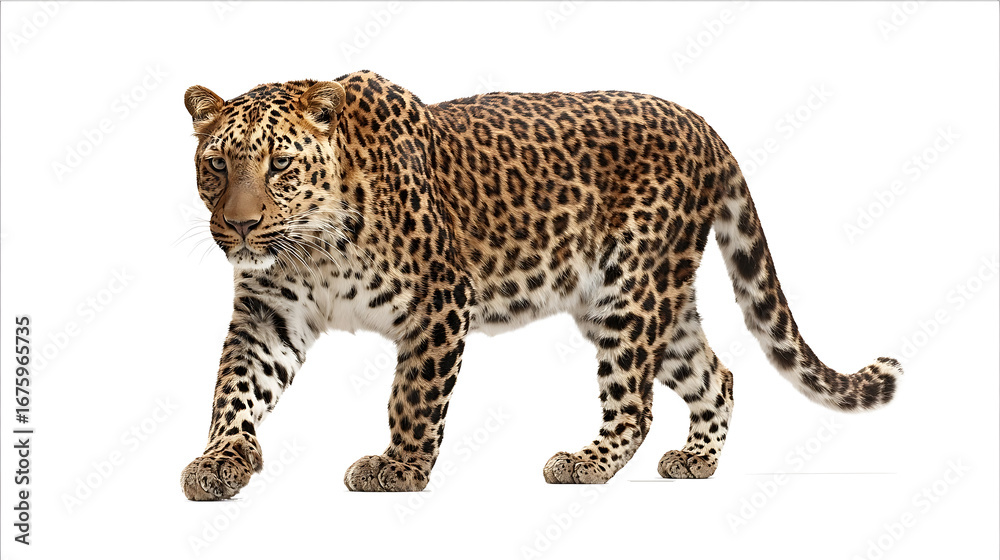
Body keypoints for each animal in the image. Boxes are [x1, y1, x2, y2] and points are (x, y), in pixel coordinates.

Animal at [179, 70, 902, 499]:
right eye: (216, 164)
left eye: (279, 165)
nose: (239, 226)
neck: (314, 250)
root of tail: (702, 125)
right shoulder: (269, 318)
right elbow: (234, 390)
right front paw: (220, 461)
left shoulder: (441, 299)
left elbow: (413, 396)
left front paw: (399, 468)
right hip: (645, 301)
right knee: (715, 374)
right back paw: (695, 460)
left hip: (630, 291)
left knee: (636, 405)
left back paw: (585, 464)